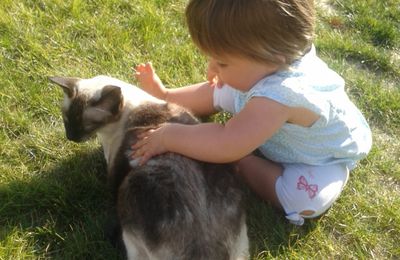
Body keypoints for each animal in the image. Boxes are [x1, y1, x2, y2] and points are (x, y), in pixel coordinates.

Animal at [49, 75, 250, 260]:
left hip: (131, 193)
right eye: (66, 120)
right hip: (242, 247)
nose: (71, 137)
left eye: (88, 126)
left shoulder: (114, 172)